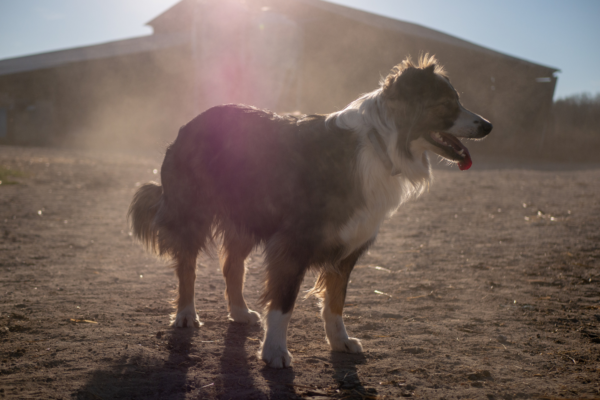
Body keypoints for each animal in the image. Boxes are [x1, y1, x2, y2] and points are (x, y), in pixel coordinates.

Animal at [127, 54, 492, 368]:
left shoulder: (348, 247)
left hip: (249, 216)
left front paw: (339, 341)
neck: (380, 144)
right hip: (193, 214)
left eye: (458, 100)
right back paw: (186, 314)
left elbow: (336, 301)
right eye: (448, 104)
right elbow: (284, 303)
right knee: (187, 267)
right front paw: (274, 351)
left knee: (232, 265)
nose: (488, 125)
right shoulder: (293, 243)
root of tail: (190, 123)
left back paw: (240, 311)